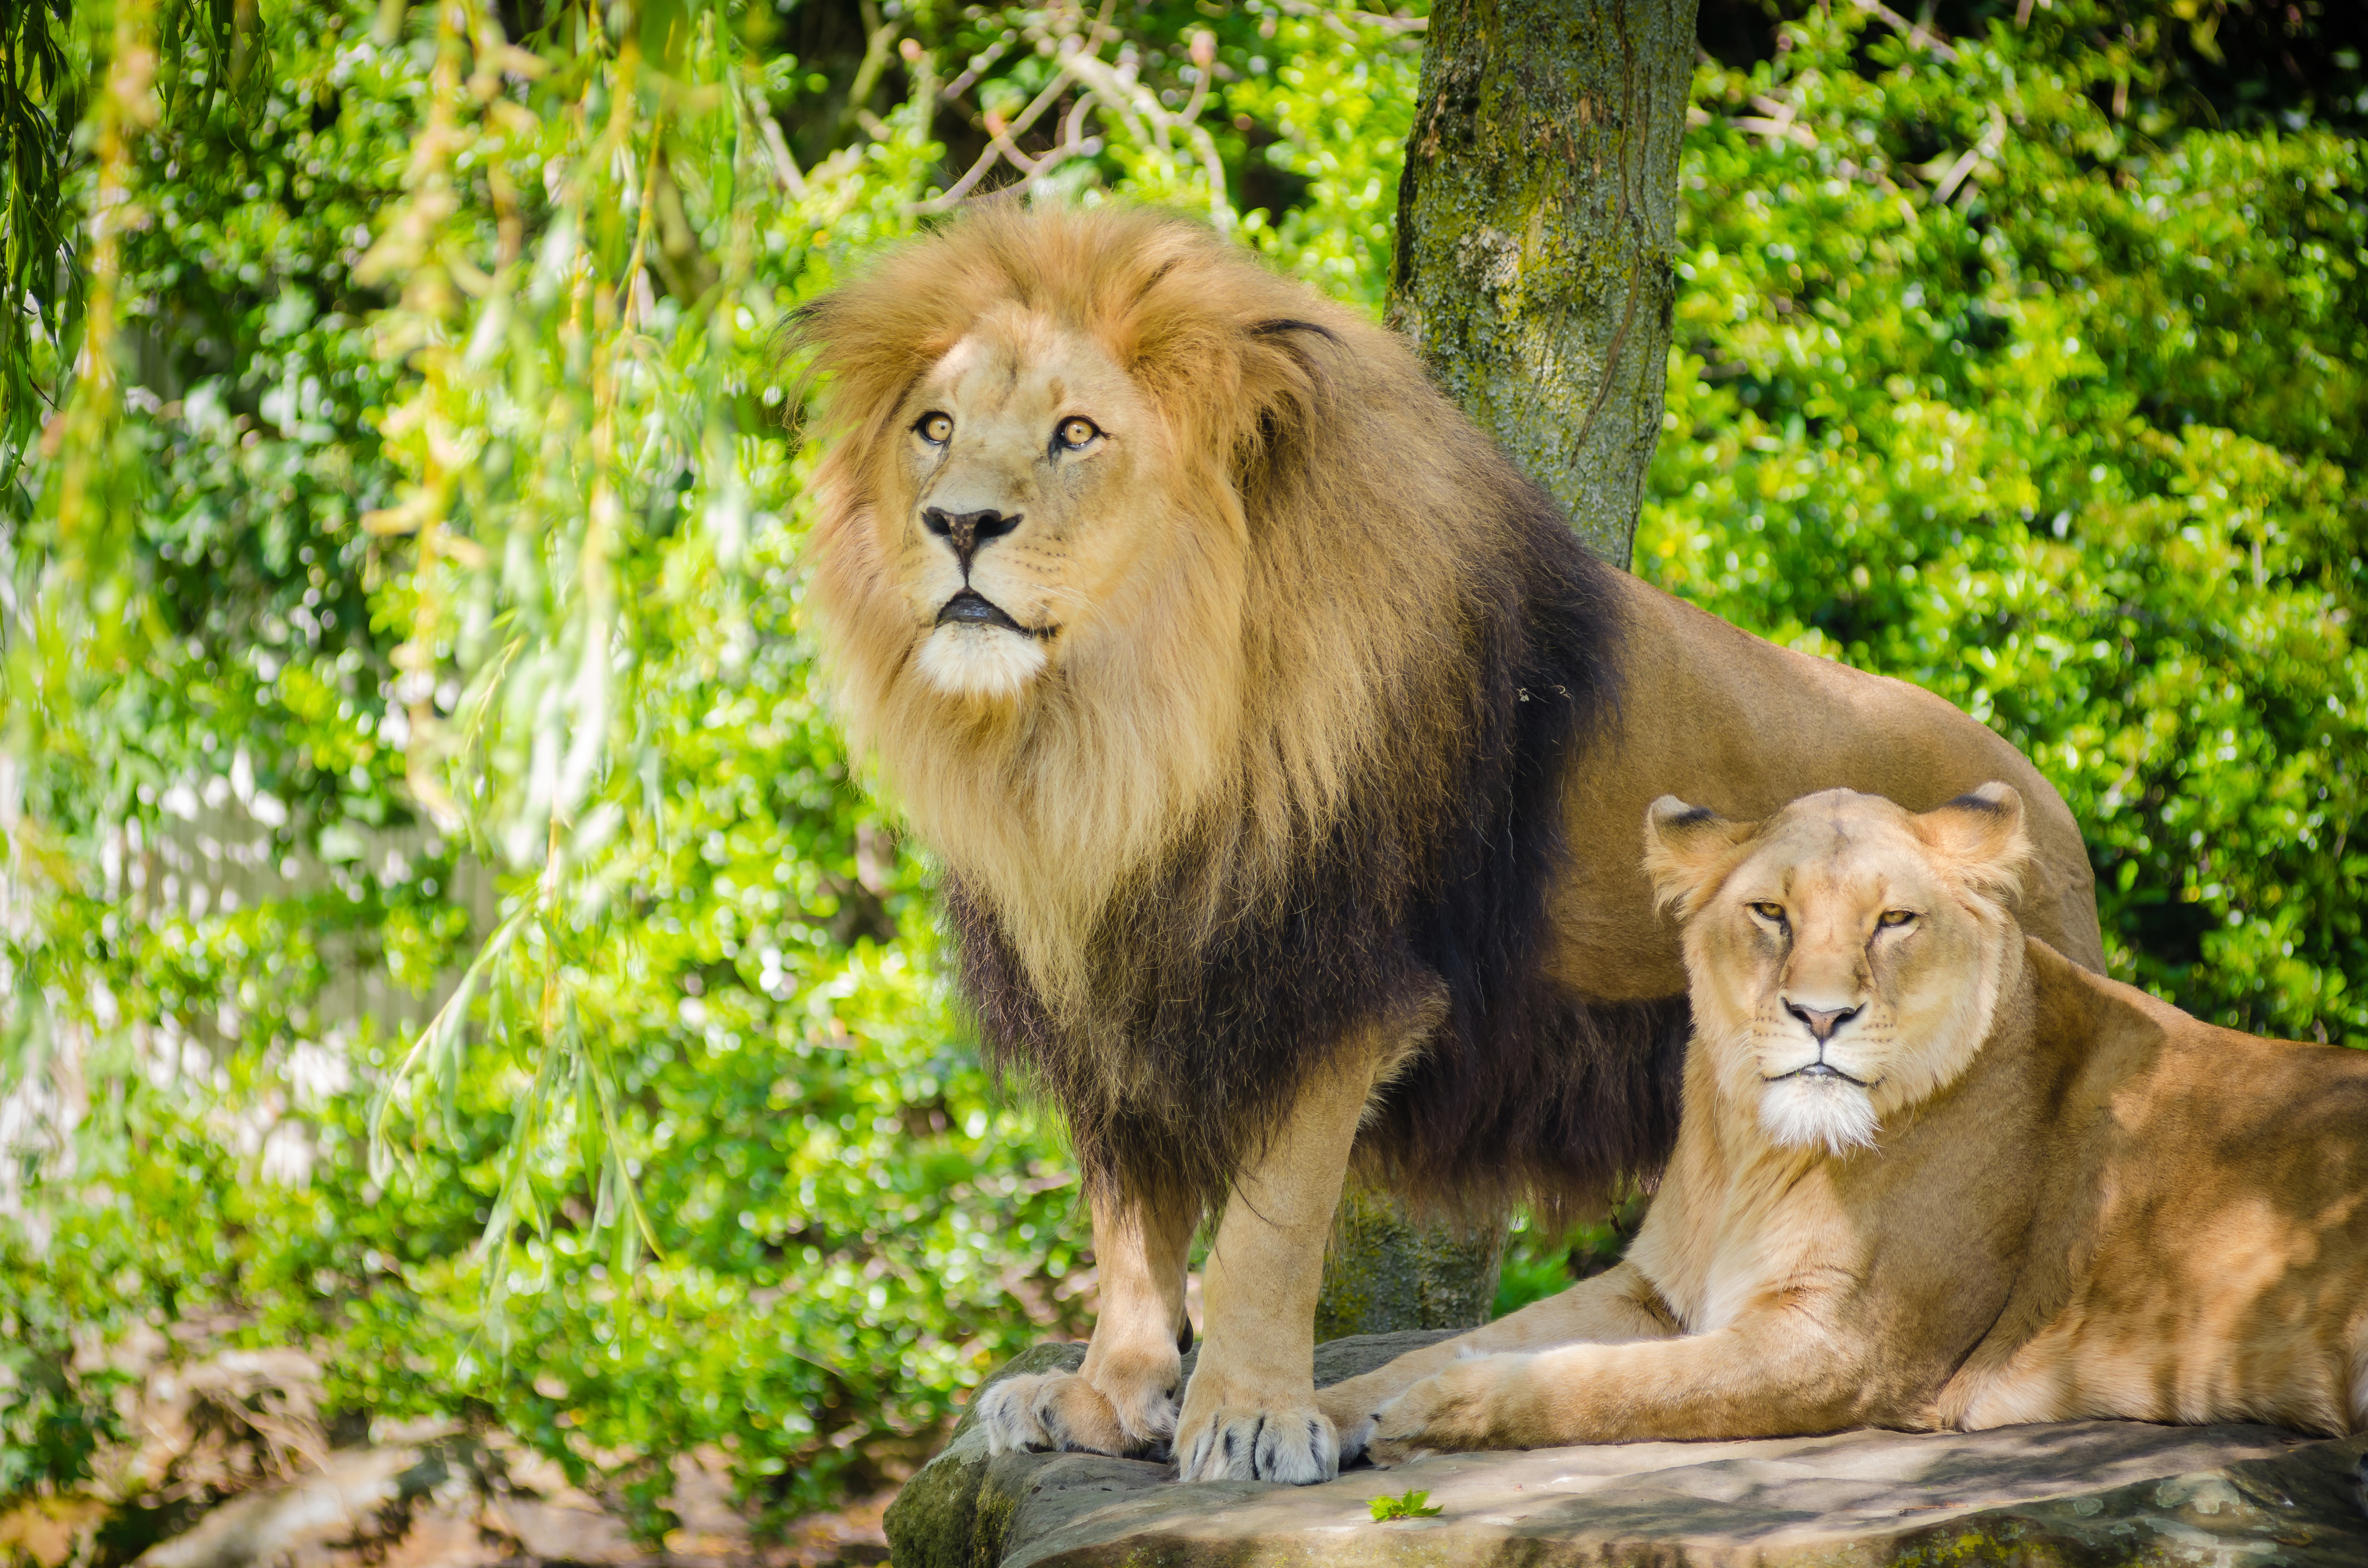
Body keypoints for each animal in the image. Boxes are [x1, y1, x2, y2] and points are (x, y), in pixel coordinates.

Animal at [795, 208, 2112, 1487]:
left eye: (1076, 433)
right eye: (933, 428)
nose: (959, 521)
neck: (1105, 744)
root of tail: (2038, 802)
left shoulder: (1336, 987)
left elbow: (1266, 1237)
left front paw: (1246, 1418)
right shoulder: (1117, 997)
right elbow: (1130, 1225)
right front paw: (1104, 1397)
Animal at [1335, 791, 2368, 1468]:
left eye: (1893, 920)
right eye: (1772, 912)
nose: (1821, 1015)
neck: (1759, 1152)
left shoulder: (1839, 1349)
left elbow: (1602, 1382)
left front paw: (1433, 1411)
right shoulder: (1655, 1289)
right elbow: (1449, 1343)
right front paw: (1315, 1417)